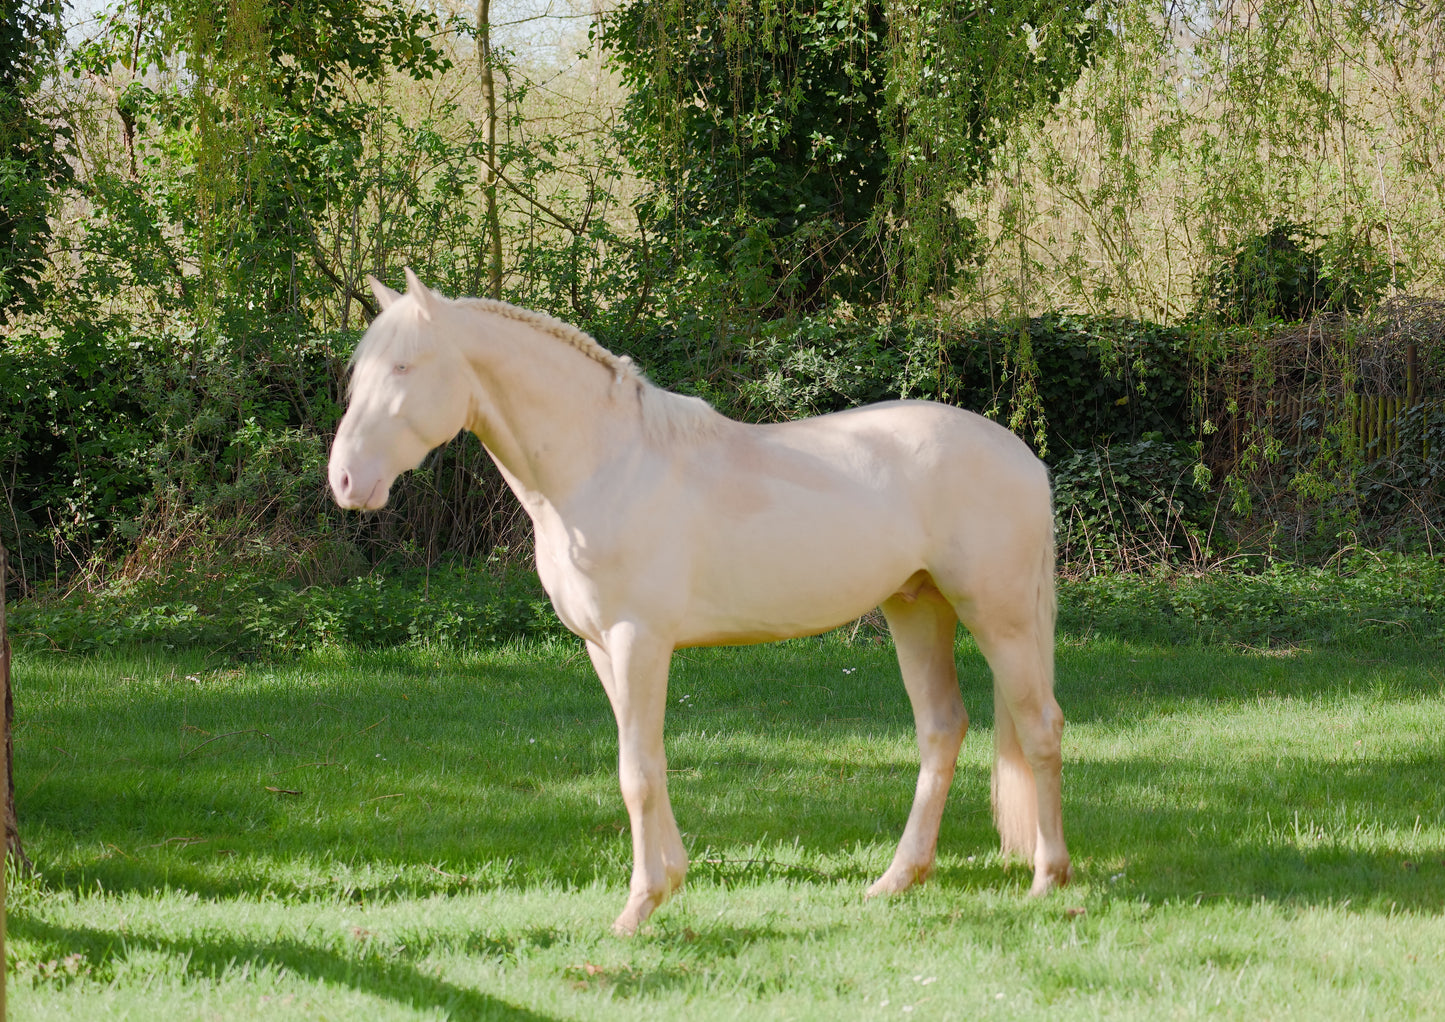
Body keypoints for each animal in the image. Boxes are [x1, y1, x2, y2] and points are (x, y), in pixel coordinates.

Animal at [328, 269, 1071, 934]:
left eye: (403, 366)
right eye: (358, 374)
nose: (345, 481)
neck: (606, 466)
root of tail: (1022, 456)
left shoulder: (638, 641)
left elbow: (634, 771)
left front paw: (637, 908)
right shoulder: (603, 647)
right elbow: (648, 761)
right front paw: (668, 884)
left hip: (998, 614)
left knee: (1039, 727)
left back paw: (1047, 878)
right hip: (915, 606)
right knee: (941, 730)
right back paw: (896, 879)